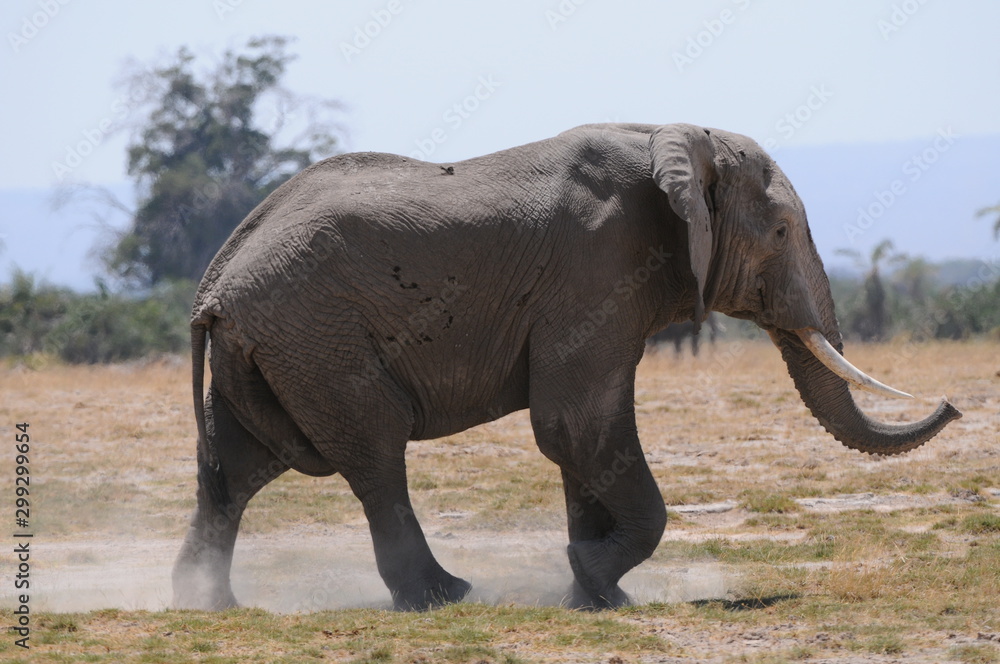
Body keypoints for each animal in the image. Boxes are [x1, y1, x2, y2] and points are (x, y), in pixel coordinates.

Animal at [172, 122, 961, 612]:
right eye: (780, 232)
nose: (954, 403)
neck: (673, 136)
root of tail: (214, 284)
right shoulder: (596, 267)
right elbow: (574, 426)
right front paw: (591, 575)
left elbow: (584, 440)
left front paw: (597, 594)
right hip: (318, 337)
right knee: (374, 453)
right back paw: (444, 597)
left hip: (277, 349)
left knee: (238, 466)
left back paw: (211, 604)